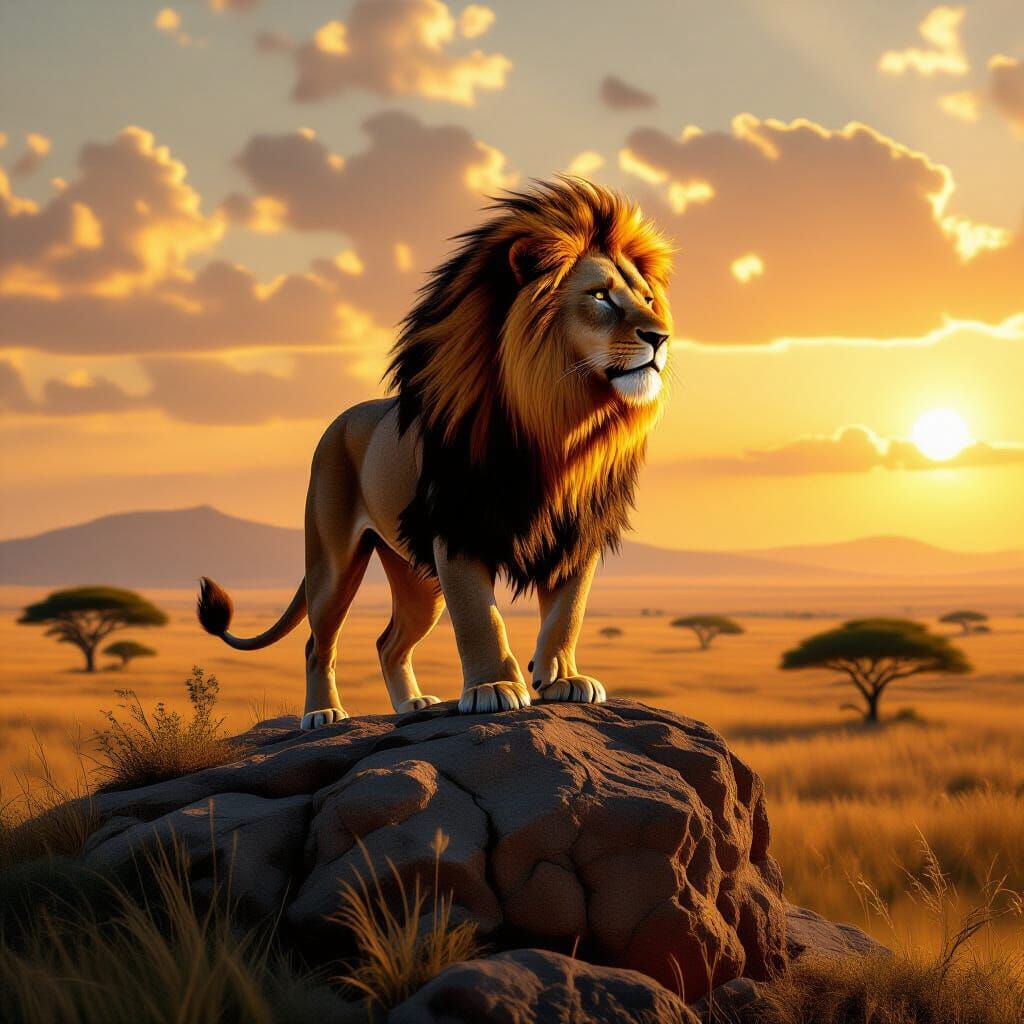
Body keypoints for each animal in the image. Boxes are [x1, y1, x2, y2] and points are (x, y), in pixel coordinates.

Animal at [197, 178, 674, 730]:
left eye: (647, 298)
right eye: (600, 296)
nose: (661, 336)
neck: (560, 426)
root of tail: (340, 421)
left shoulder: (577, 531)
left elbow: (567, 612)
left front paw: (562, 679)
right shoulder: (456, 526)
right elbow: (480, 617)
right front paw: (493, 687)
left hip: (416, 576)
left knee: (388, 642)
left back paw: (413, 705)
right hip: (333, 561)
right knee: (318, 643)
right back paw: (322, 713)